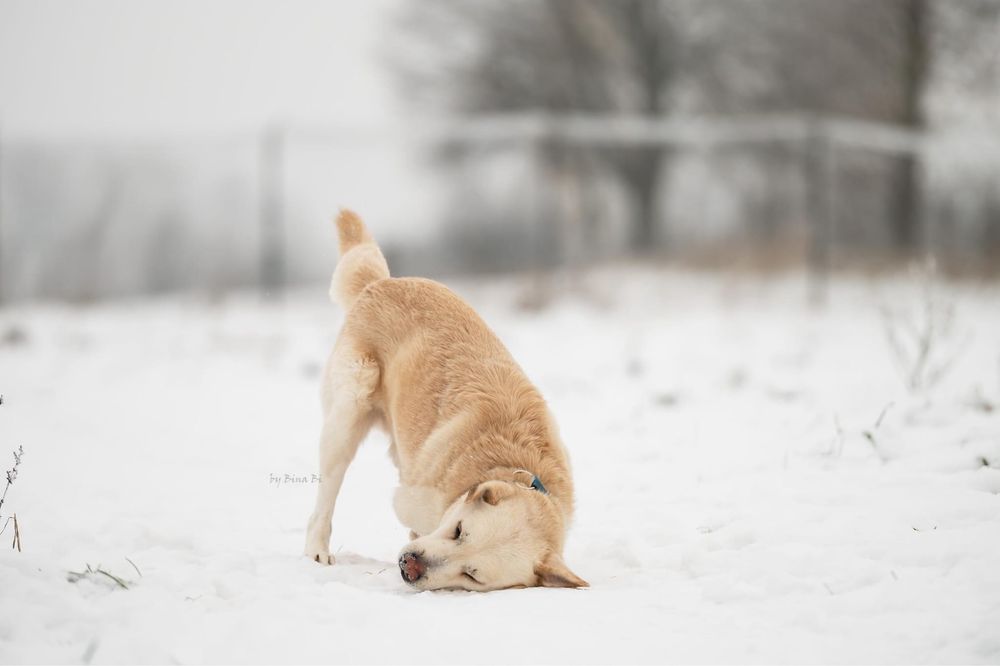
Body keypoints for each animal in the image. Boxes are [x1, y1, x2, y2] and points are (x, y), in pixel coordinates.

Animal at [302, 210, 584, 588]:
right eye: (459, 530)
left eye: (472, 575)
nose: (410, 566)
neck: (509, 462)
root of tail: (381, 284)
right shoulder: (409, 499)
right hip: (346, 419)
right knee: (324, 500)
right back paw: (317, 550)